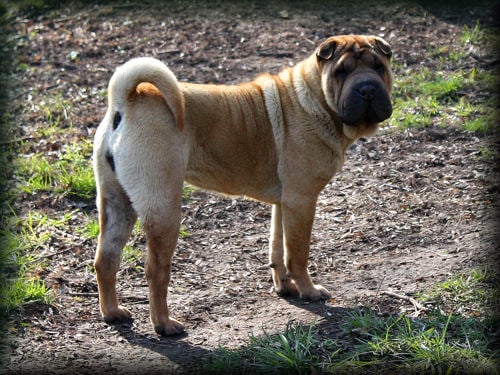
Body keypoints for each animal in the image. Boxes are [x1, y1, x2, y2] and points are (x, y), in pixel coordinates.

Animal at [92, 34, 392, 334]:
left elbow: (277, 246)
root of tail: (126, 100)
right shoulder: (302, 200)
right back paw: (165, 325)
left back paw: (113, 313)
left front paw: (285, 287)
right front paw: (309, 291)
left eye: (379, 66)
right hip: (163, 209)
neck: (314, 99)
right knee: (156, 271)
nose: (367, 89)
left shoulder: (284, 204)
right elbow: (297, 254)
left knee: (106, 259)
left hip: (117, 203)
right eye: (342, 71)